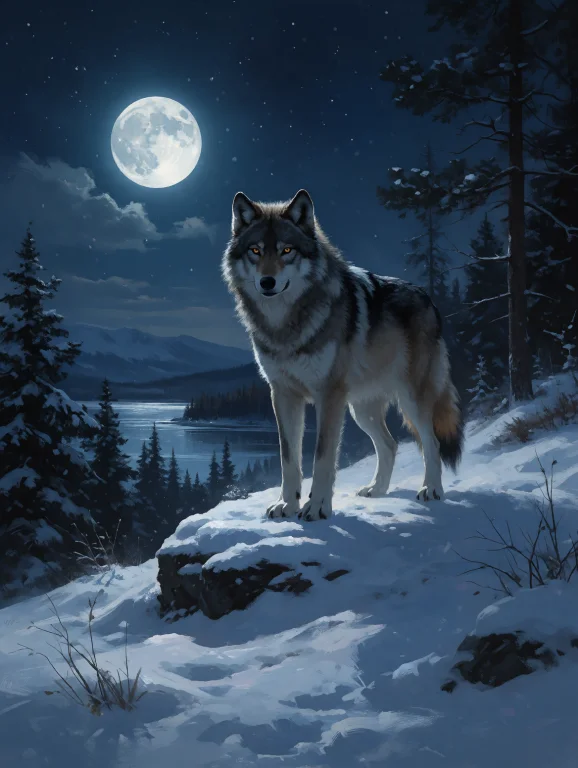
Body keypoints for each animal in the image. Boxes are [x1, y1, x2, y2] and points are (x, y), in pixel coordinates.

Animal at [221, 189, 463, 521]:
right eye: (255, 251)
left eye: (286, 250)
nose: (267, 282)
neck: (286, 326)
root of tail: (429, 299)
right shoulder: (282, 394)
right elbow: (288, 459)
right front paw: (287, 505)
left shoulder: (329, 396)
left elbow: (322, 457)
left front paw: (317, 508)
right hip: (361, 409)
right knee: (390, 445)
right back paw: (377, 490)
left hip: (411, 399)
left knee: (432, 442)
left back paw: (432, 490)